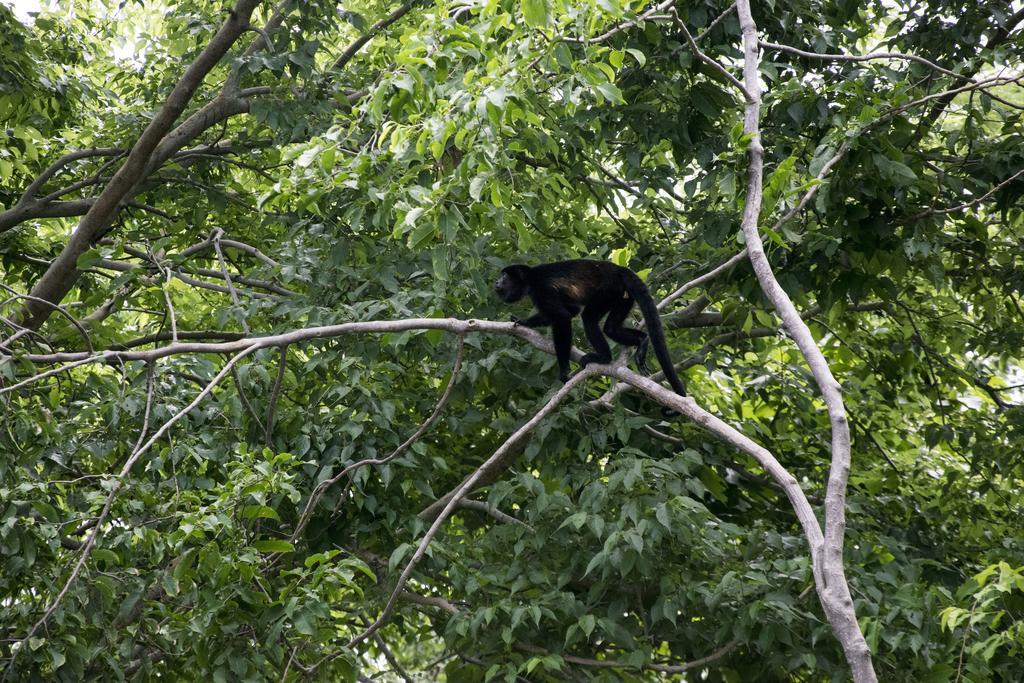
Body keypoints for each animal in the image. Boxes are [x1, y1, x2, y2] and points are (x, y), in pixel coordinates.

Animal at [495, 259, 688, 397]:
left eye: (505, 276)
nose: (496, 281)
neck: (531, 279)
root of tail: (618, 269)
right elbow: (571, 310)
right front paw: (524, 322)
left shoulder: (542, 289)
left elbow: (563, 317)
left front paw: (564, 371)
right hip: (623, 296)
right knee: (610, 328)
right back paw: (642, 340)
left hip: (608, 289)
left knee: (588, 318)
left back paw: (604, 357)